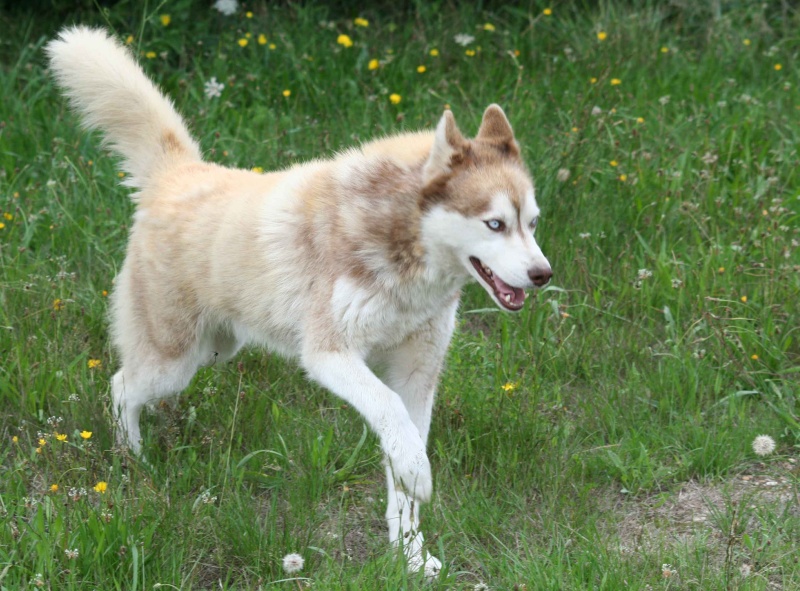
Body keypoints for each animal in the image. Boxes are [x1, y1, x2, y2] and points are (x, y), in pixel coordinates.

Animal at [47, 27, 552, 580]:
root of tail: (180, 173)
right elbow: (391, 416)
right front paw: (419, 477)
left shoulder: (417, 376)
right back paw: (132, 459)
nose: (542, 275)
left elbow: (401, 458)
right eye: (494, 224)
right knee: (121, 387)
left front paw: (411, 556)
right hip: (173, 360)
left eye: (531, 222)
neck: (400, 251)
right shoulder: (331, 355)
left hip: (215, 350)